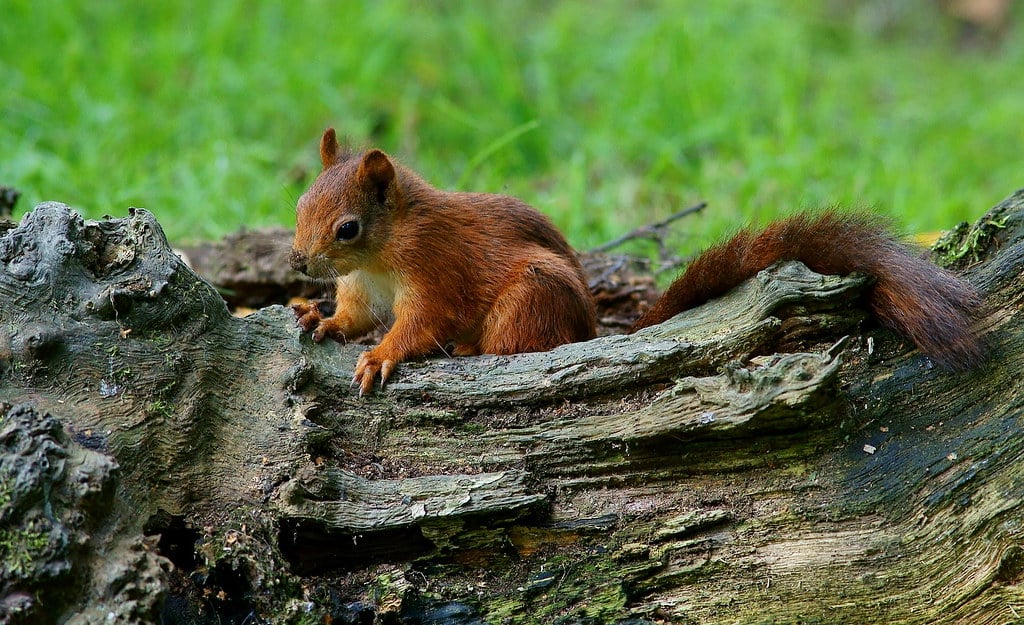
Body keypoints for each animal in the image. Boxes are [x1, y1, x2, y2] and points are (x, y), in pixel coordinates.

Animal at [289, 128, 597, 394]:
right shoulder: (362, 284)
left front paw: (379, 355)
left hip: (534, 298)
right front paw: (322, 319)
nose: (297, 262)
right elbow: (357, 314)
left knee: (519, 343)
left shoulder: (434, 267)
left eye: (348, 229)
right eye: (301, 205)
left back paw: (469, 347)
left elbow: (422, 323)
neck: (376, 261)